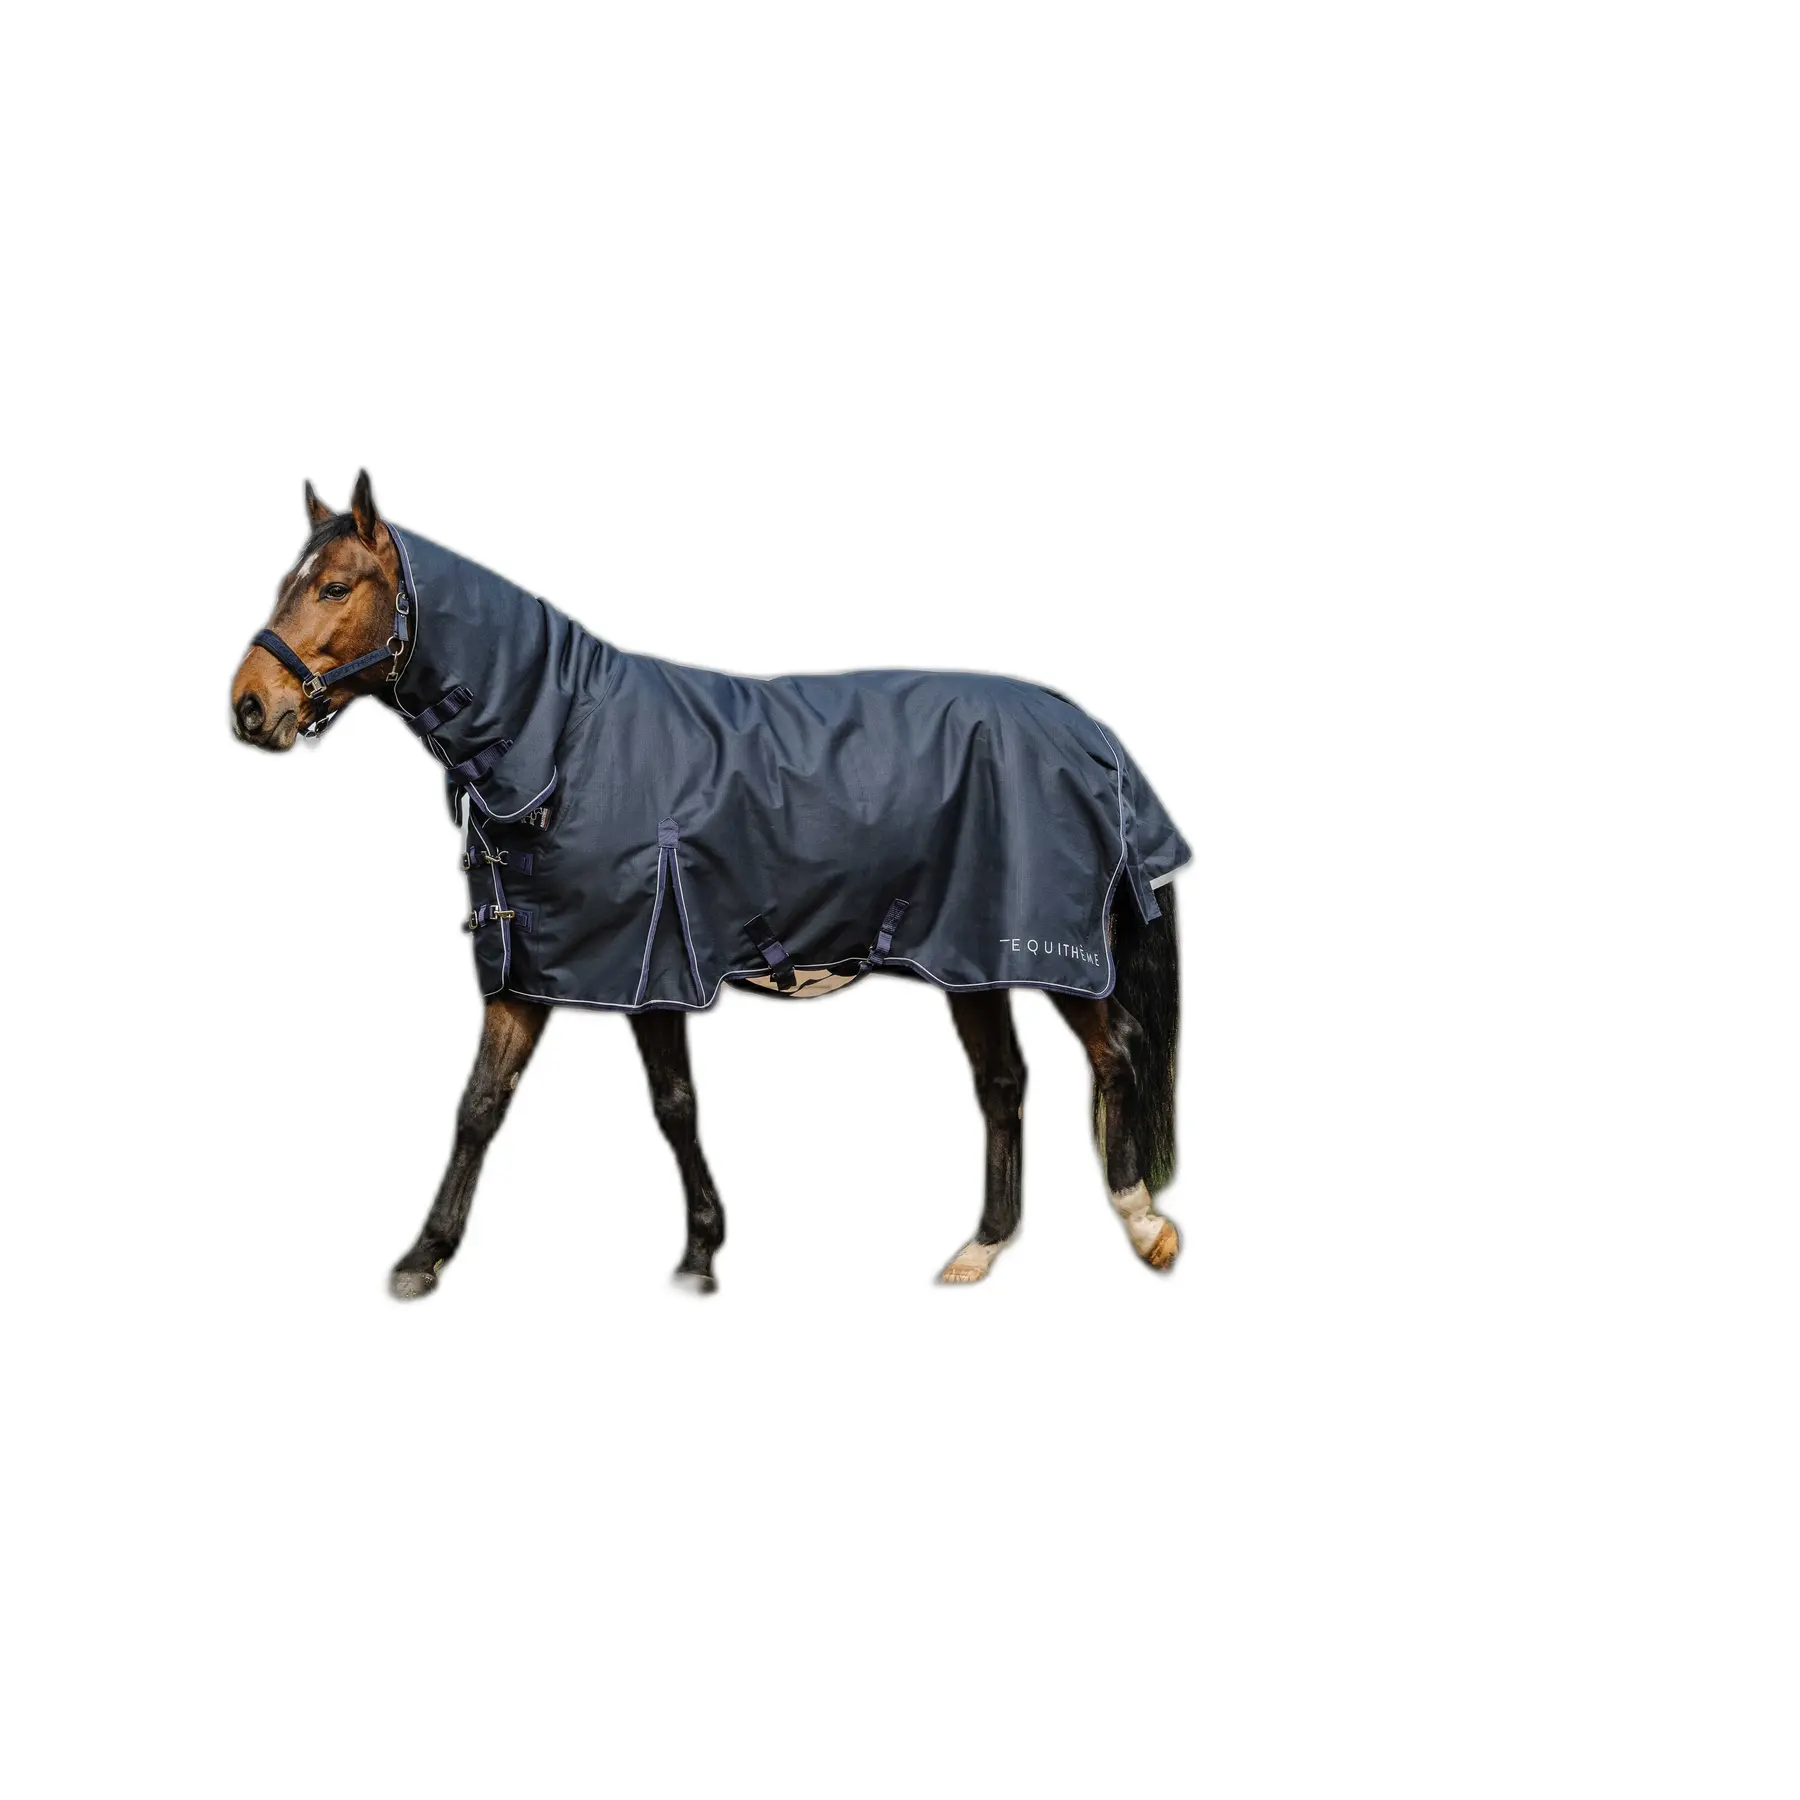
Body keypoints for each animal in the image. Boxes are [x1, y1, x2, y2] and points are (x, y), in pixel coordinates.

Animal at [231, 473, 1187, 1297]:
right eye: (289, 581)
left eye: (335, 587)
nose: (249, 705)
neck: (565, 739)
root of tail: (1092, 736)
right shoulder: (536, 969)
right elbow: (486, 1106)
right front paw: (425, 1258)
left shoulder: (644, 964)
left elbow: (671, 1105)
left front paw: (699, 1252)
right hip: (968, 957)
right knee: (1003, 1084)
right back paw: (981, 1249)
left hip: (1050, 951)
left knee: (1117, 1053)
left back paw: (1145, 1225)